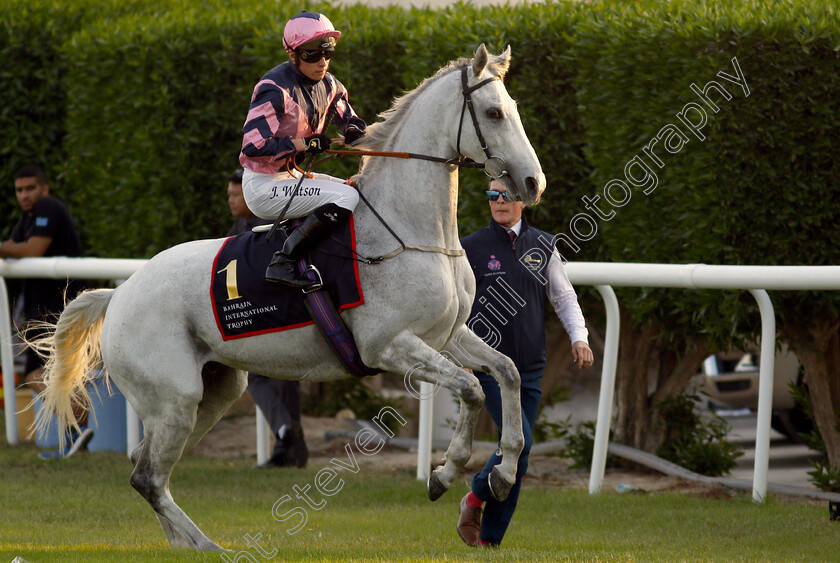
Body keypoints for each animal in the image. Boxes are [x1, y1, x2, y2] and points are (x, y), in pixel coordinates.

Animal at [34, 45, 544, 552]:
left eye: (515, 108)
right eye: (494, 113)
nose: (533, 183)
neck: (411, 231)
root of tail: (120, 294)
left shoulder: (446, 335)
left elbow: (508, 371)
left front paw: (502, 475)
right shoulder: (389, 346)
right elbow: (471, 388)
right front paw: (444, 472)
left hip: (214, 393)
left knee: (146, 464)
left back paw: (185, 544)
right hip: (176, 398)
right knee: (147, 477)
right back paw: (209, 547)